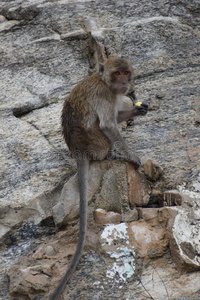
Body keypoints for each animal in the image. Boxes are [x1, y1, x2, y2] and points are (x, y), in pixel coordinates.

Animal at [49, 57, 147, 298]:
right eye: (117, 73)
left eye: (126, 73)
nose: (124, 82)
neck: (104, 81)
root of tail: (78, 151)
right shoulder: (104, 95)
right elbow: (108, 124)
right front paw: (130, 154)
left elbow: (117, 116)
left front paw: (137, 110)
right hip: (94, 141)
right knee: (101, 132)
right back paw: (113, 154)